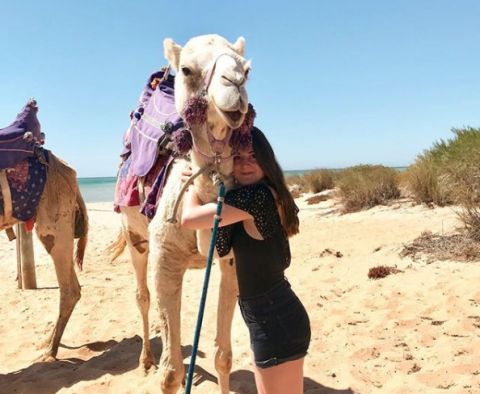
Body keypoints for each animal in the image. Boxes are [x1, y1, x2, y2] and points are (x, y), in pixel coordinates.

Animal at [117, 35, 251, 392]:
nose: (234, 83)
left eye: (247, 69)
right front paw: (162, 368)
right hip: (135, 237)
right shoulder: (166, 261)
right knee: (142, 296)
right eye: (188, 70)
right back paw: (145, 360)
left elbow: (223, 356)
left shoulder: (231, 263)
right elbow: (171, 373)